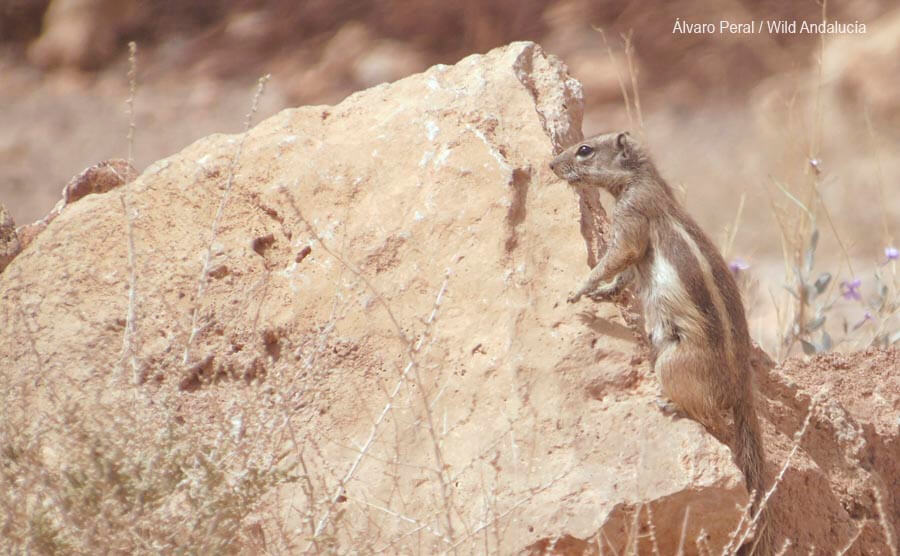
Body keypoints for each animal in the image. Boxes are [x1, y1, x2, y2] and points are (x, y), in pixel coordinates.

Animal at [552, 132, 768, 552]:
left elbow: (615, 258)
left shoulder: (632, 221)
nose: (551, 164)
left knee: (713, 420)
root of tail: (741, 388)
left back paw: (676, 407)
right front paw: (603, 292)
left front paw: (580, 288)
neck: (639, 178)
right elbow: (623, 276)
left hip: (673, 362)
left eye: (585, 150)